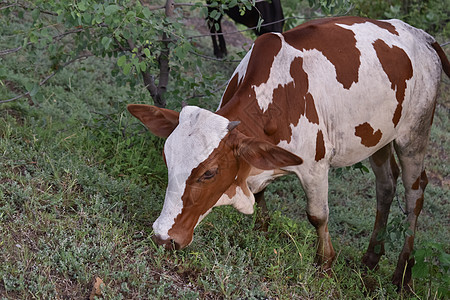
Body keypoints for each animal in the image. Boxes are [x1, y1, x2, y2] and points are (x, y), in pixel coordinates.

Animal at [127, 16, 450, 288]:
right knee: (386, 185)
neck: (275, 99)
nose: (163, 237)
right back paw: (371, 258)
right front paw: (262, 231)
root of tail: (421, 35)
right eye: (168, 161)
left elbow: (317, 215)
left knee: (414, 193)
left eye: (209, 173)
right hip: (378, 137)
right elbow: (260, 196)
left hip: (413, 135)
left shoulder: (315, 165)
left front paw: (324, 264)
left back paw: (402, 274)